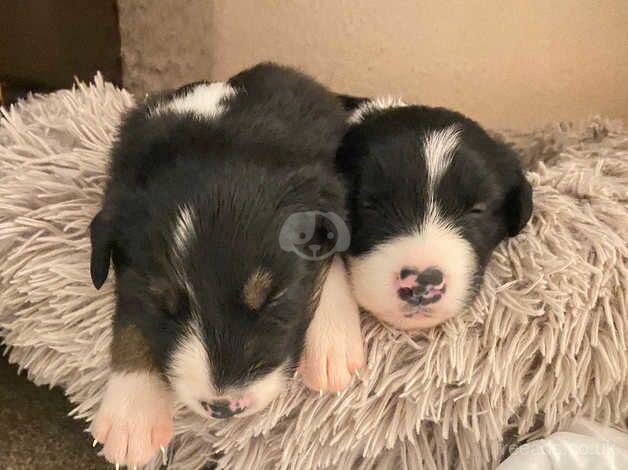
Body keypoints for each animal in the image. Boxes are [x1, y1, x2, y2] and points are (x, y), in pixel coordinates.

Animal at [87, 64, 364, 468]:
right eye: (162, 306)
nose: (223, 407)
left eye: (273, 299)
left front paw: (332, 344)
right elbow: (128, 320)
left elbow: (329, 257)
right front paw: (132, 414)